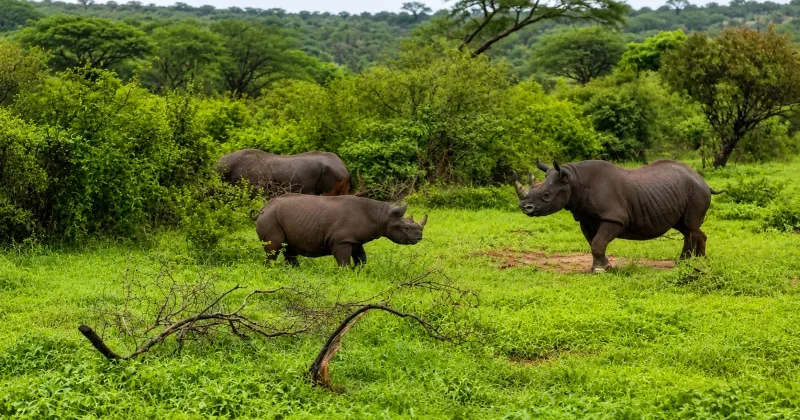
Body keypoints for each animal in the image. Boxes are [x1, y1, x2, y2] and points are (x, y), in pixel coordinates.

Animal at [254, 194, 427, 267]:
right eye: (406, 228)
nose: (419, 238)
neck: (382, 216)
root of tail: (263, 208)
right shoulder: (341, 241)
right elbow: (343, 260)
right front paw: (346, 273)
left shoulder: (354, 239)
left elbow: (362, 258)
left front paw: (358, 271)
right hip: (270, 218)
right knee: (274, 248)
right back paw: (271, 269)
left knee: (288, 248)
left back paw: (295, 270)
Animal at [512, 159, 726, 273]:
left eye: (546, 195)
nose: (525, 207)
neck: (574, 181)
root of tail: (704, 181)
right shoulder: (585, 217)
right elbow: (593, 242)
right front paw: (603, 266)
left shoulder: (614, 217)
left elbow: (598, 242)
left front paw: (599, 270)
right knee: (687, 226)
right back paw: (700, 261)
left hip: (697, 190)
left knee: (689, 227)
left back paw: (683, 263)